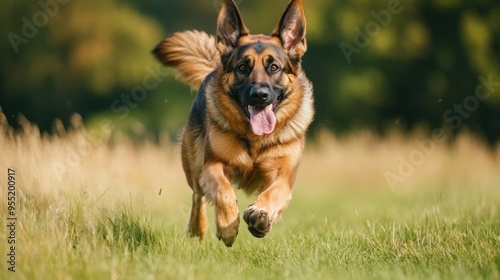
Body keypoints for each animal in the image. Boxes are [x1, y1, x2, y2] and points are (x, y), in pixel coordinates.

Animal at [154, 0, 314, 246]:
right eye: (242, 67)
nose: (259, 95)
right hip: (194, 166)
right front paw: (227, 227)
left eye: (274, 67)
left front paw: (261, 215)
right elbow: (223, 191)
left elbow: (273, 193)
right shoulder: (213, 165)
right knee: (198, 195)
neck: (255, 140)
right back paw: (197, 228)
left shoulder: (284, 177)